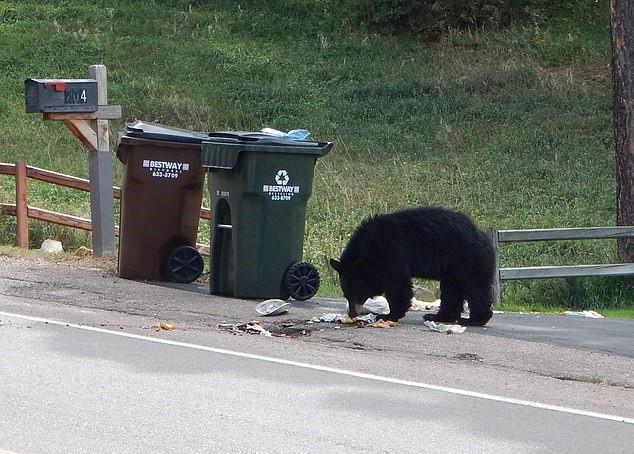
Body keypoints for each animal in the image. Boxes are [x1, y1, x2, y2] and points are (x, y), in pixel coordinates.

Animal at [328, 206, 496, 326]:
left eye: (357, 293)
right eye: (345, 294)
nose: (352, 314)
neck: (371, 247)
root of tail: (483, 236)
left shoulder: (392, 252)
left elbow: (398, 284)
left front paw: (388, 315)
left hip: (468, 259)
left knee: (475, 288)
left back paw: (473, 319)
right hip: (453, 269)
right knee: (451, 290)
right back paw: (438, 316)